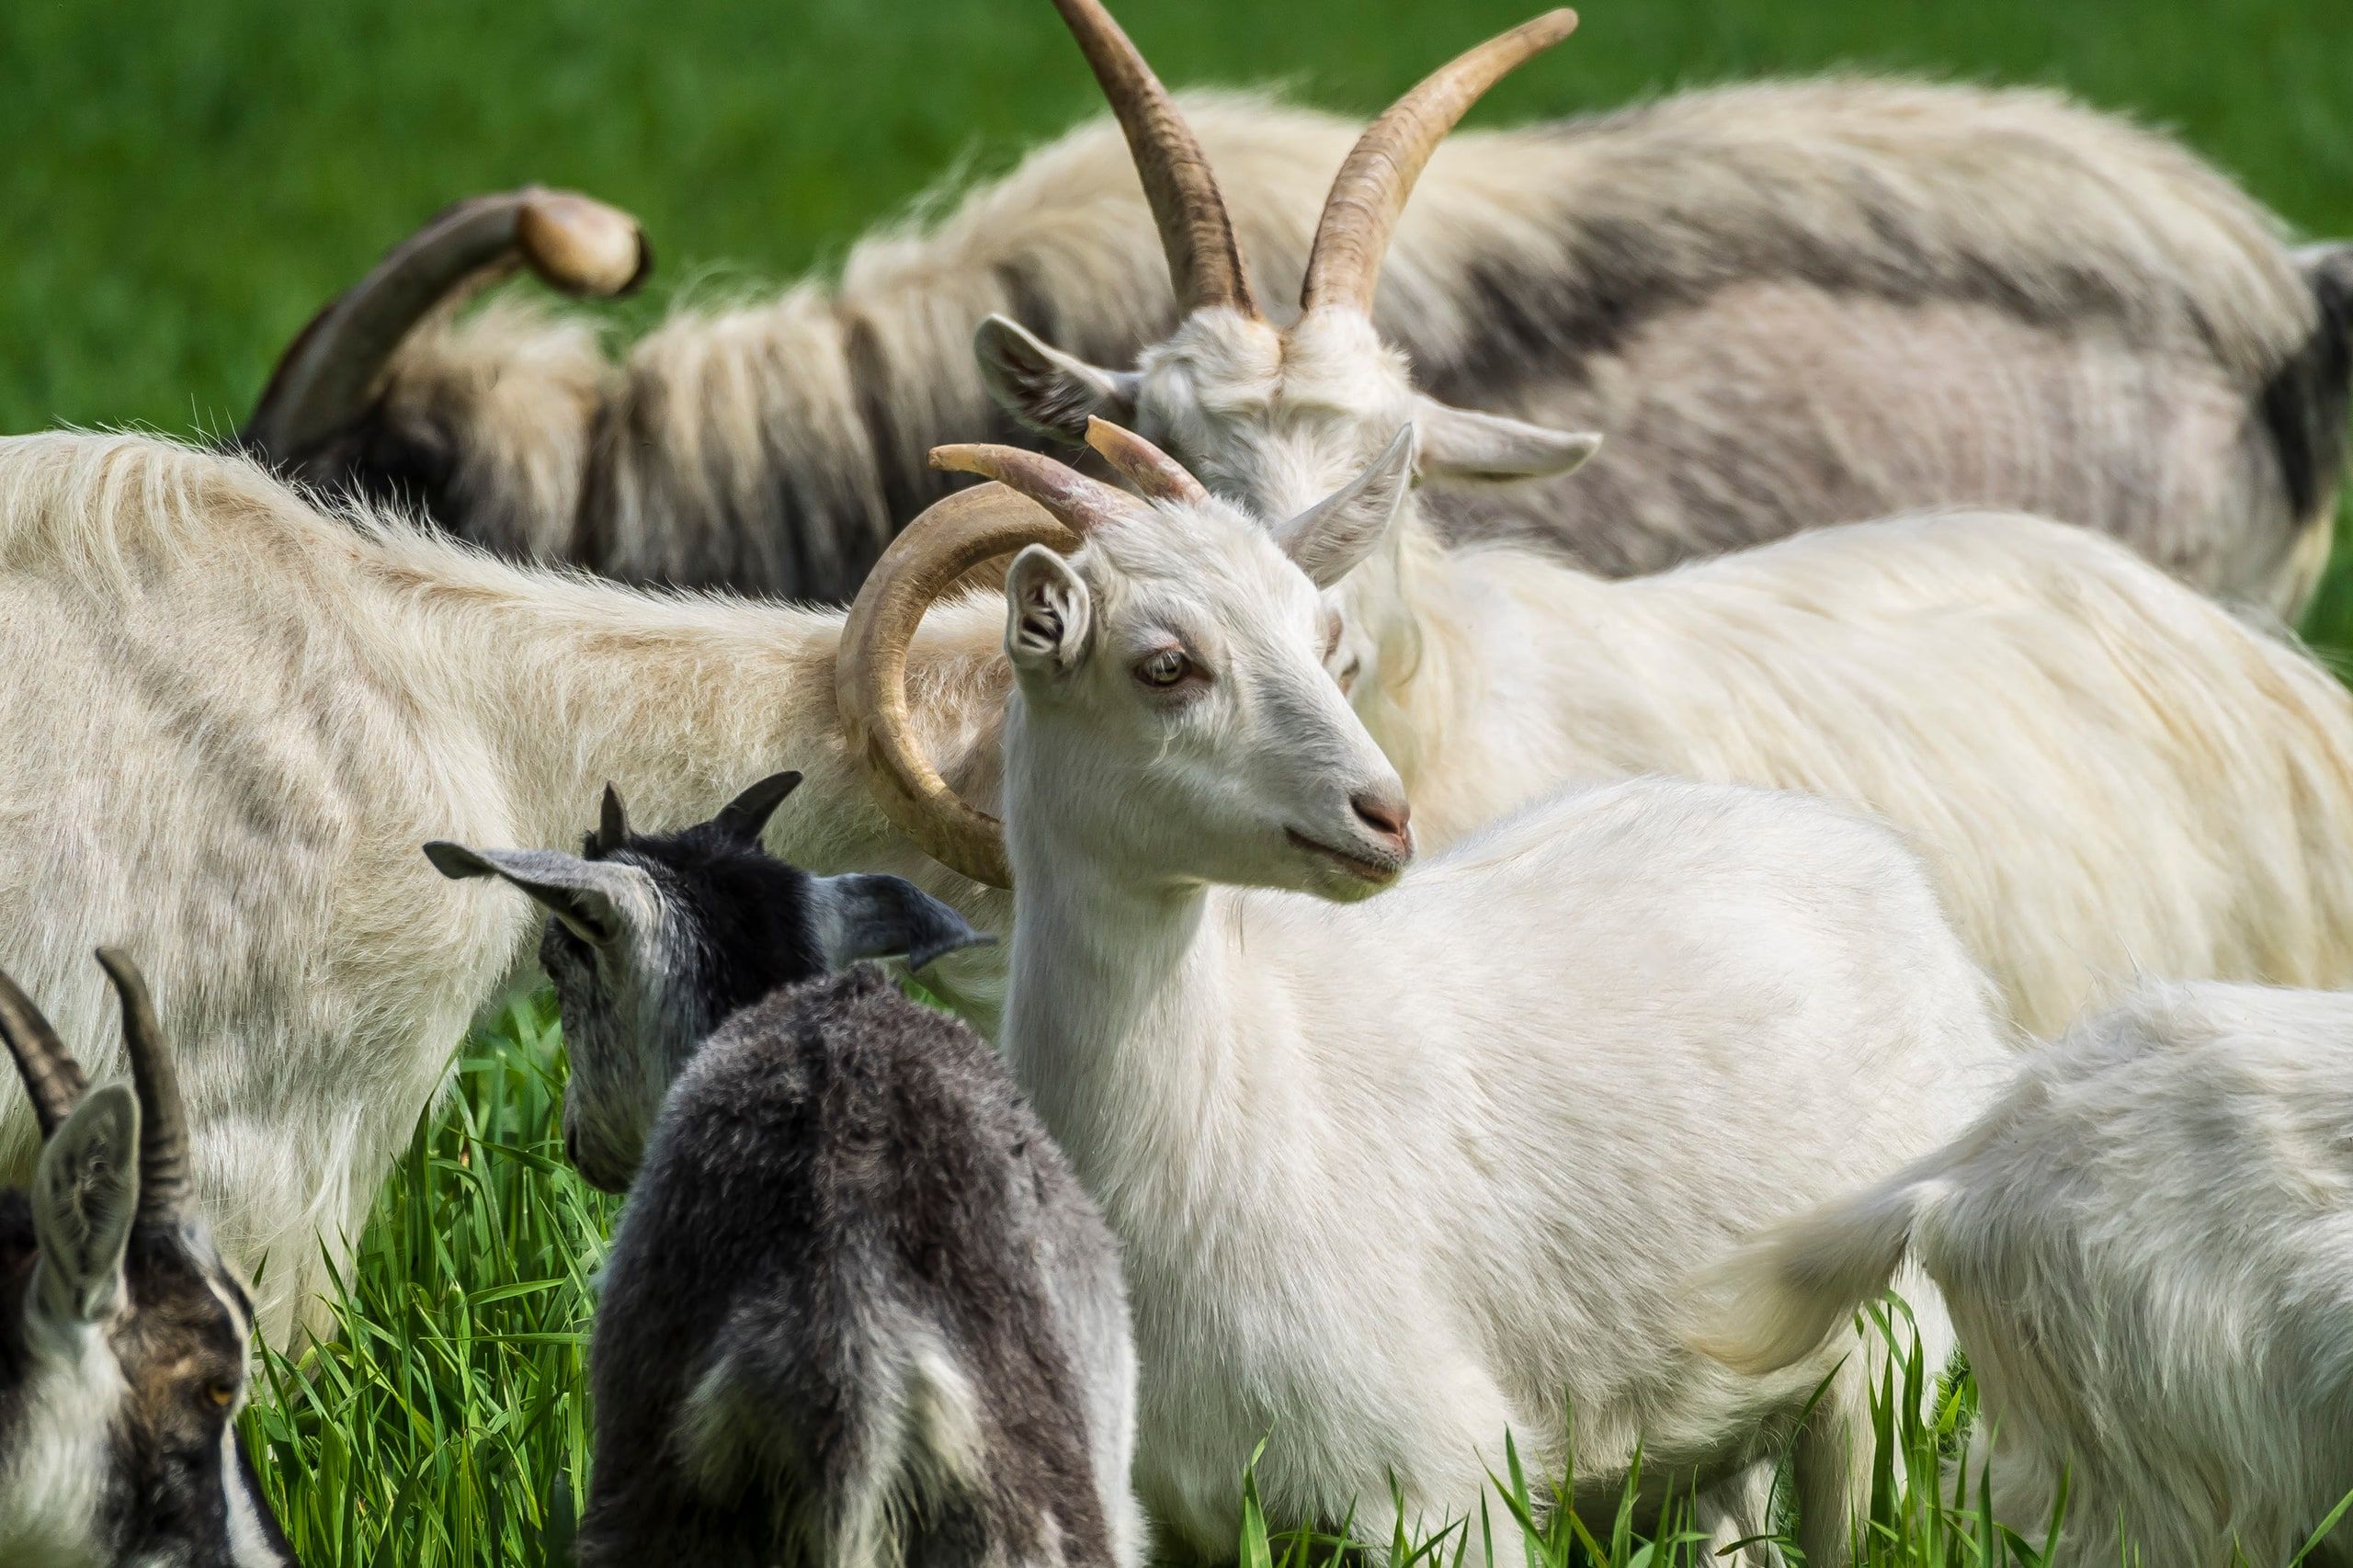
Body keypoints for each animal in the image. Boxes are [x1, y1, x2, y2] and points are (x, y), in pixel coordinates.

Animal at [834, 431, 2019, 1565]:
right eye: (1164, 664)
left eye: (1324, 640)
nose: (1385, 815)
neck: (1228, 1095)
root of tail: (1860, 846)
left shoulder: (1441, 1484)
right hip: (1716, 1417)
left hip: (1884, 1363)